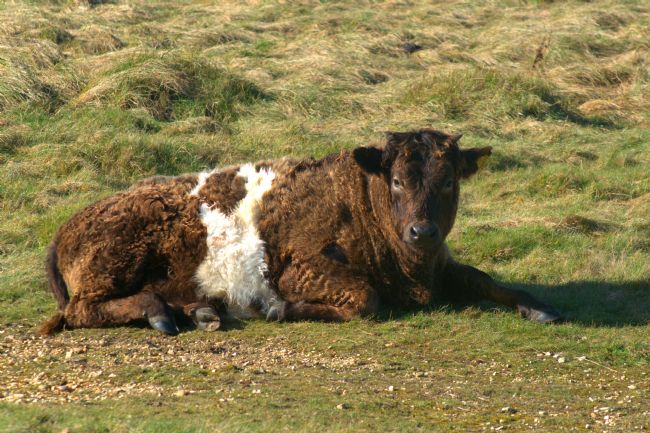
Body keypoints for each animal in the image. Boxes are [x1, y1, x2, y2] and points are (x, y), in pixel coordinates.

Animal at [39, 128, 561, 336]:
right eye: (396, 180)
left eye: (449, 180)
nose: (422, 230)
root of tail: (68, 225)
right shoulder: (301, 269)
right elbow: (364, 298)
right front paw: (281, 309)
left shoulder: (443, 263)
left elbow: (484, 278)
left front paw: (538, 306)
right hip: (114, 261)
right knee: (84, 310)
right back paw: (160, 314)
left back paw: (200, 311)